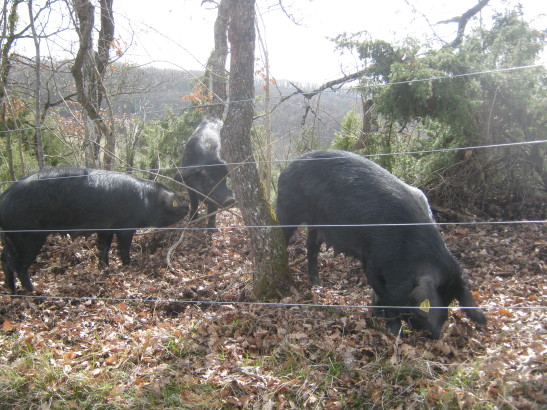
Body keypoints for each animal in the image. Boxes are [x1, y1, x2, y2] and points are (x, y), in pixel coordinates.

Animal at [0, 167, 189, 293]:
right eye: (176, 202)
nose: (187, 206)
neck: (148, 200)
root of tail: (4, 197)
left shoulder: (106, 228)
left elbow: (103, 247)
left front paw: (103, 268)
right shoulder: (125, 226)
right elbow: (123, 247)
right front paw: (130, 264)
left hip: (9, 237)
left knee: (5, 260)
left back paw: (12, 291)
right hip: (26, 235)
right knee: (18, 264)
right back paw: (32, 292)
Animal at [276, 150, 486, 338]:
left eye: (450, 299)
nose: (428, 333)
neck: (408, 250)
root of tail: (289, 166)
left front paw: (376, 313)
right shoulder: (372, 264)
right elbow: (386, 296)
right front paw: (395, 333)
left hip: (316, 224)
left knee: (311, 248)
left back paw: (317, 284)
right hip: (287, 209)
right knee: (283, 236)